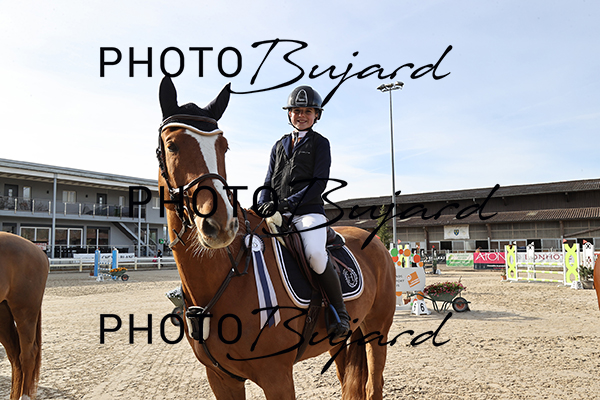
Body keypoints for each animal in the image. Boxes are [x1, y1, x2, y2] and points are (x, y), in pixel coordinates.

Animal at [156, 76, 396, 399]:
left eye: (224, 147)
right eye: (172, 145)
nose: (220, 224)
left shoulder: (277, 377)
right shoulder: (221, 379)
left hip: (376, 331)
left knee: (374, 385)